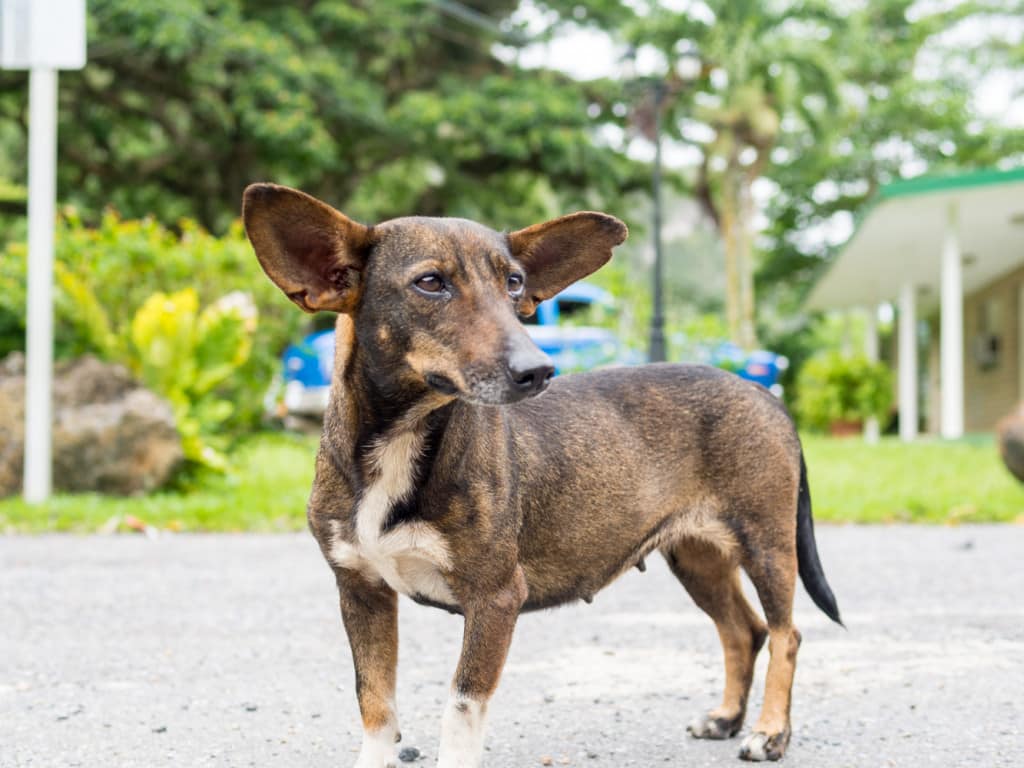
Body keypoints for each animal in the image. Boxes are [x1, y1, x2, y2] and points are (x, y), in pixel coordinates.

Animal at [239, 183, 839, 765]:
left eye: (514, 284)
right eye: (430, 283)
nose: (539, 370)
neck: (404, 437)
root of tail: (761, 388)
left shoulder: (496, 597)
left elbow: (459, 713)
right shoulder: (361, 591)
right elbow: (376, 705)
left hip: (767, 543)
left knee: (786, 634)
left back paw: (769, 732)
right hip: (698, 557)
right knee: (744, 631)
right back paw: (726, 717)